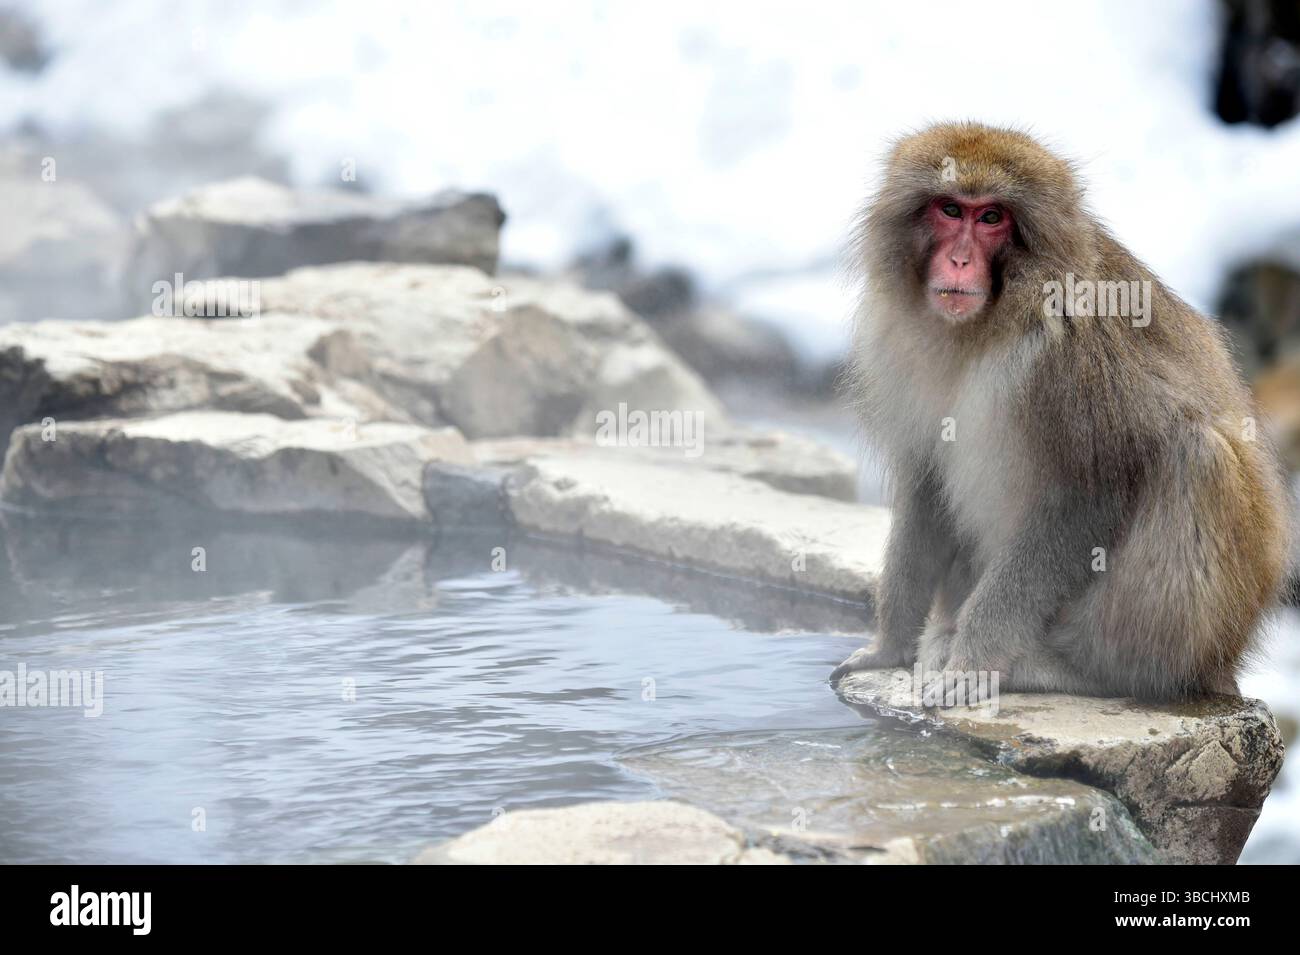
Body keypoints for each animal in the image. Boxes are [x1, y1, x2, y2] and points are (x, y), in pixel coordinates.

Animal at [830, 122, 1290, 701]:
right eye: (951, 209)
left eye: (992, 217)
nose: (959, 261)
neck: (987, 325)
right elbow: (926, 488)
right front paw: (888, 646)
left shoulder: (1072, 354)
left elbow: (1091, 491)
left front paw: (973, 663)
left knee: (1198, 455)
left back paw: (1085, 671)